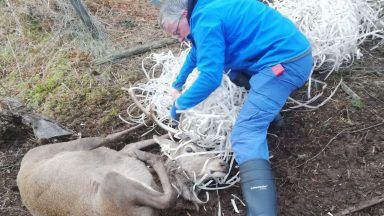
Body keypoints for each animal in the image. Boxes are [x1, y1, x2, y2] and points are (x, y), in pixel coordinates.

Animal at [17, 87, 228, 215]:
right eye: (190, 149)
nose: (222, 163)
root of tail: (25, 159)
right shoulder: (112, 185)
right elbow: (169, 198)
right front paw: (155, 158)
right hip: (76, 145)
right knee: (110, 137)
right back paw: (149, 124)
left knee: (127, 145)